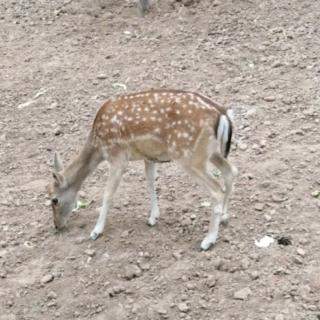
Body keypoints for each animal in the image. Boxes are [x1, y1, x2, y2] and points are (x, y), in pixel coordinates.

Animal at [48, 89, 238, 251]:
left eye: (54, 200)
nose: (57, 226)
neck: (98, 146)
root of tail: (222, 115)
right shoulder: (149, 157)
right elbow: (150, 182)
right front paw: (153, 218)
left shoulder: (118, 157)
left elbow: (108, 194)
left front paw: (96, 230)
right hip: (210, 152)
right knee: (231, 171)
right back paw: (224, 216)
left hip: (188, 156)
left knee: (216, 190)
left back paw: (208, 241)